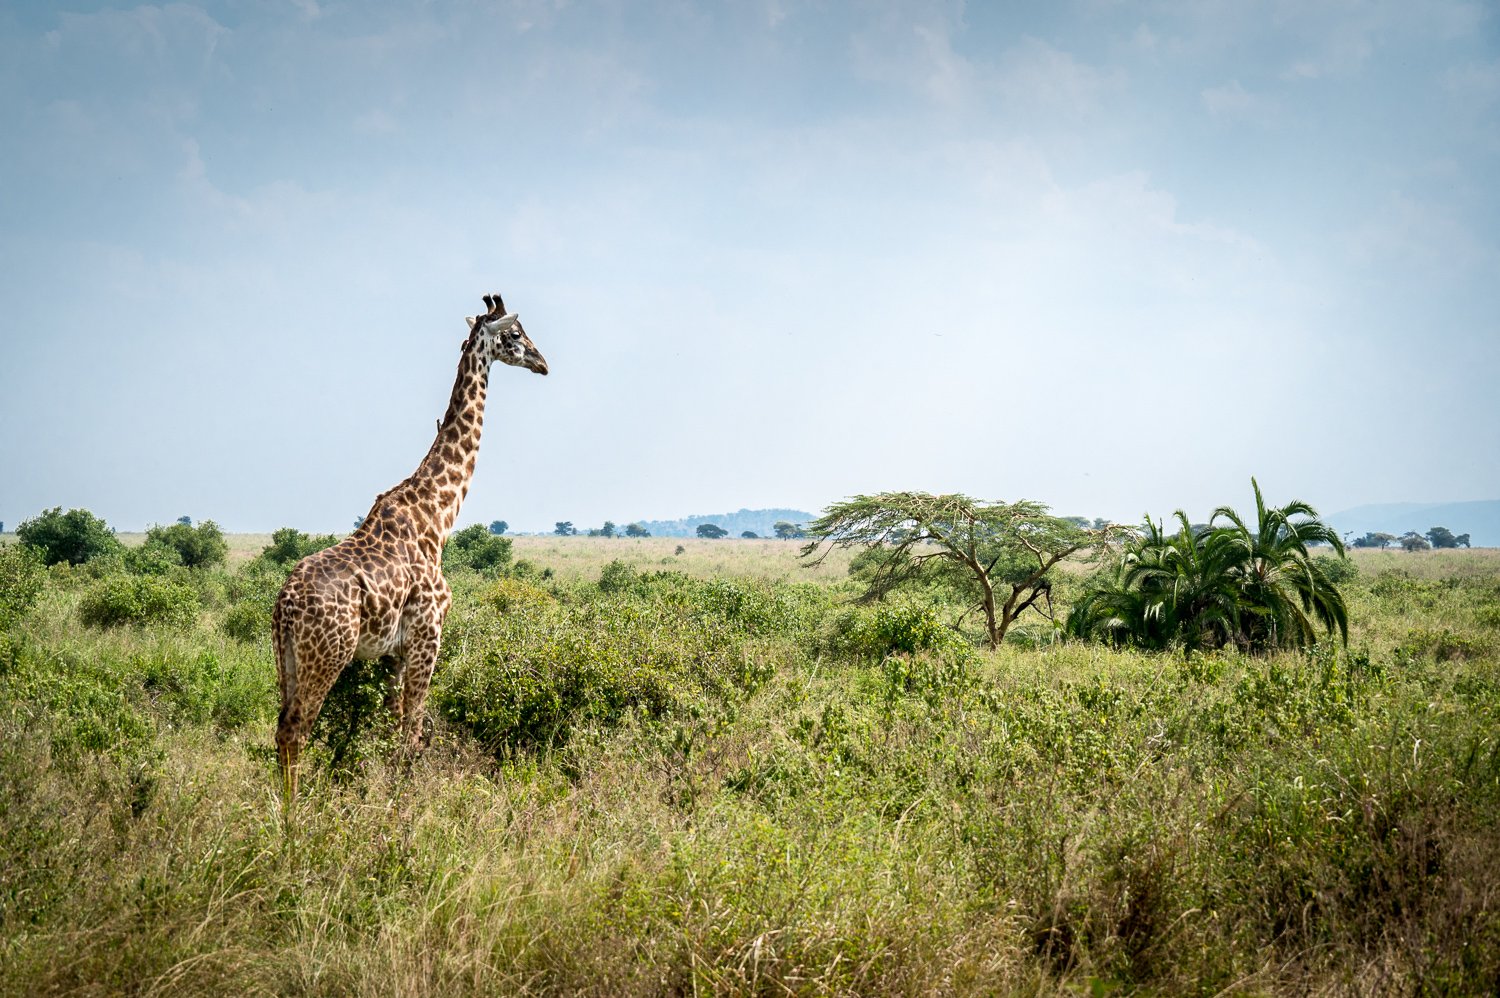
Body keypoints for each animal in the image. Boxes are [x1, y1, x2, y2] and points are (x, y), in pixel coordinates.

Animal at [273, 292, 549, 798]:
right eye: (517, 334)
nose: (543, 363)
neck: (437, 515)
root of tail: (284, 606)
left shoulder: (391, 654)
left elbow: (388, 727)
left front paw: (379, 790)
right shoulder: (428, 635)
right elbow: (412, 729)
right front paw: (404, 802)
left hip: (286, 658)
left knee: (280, 726)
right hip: (328, 655)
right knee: (296, 730)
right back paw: (295, 816)